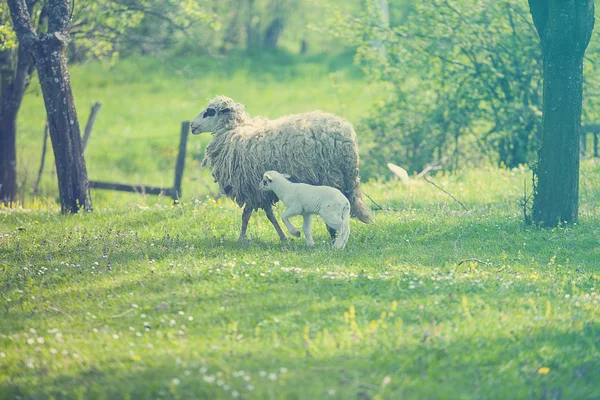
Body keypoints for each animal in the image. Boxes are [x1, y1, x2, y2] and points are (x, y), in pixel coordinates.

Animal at [191, 95, 370, 242]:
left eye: (210, 111)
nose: (192, 125)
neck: (233, 132)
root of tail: (347, 138)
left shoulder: (251, 188)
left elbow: (248, 215)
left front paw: (241, 239)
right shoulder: (261, 189)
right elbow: (267, 214)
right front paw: (283, 237)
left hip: (330, 176)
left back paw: (333, 238)